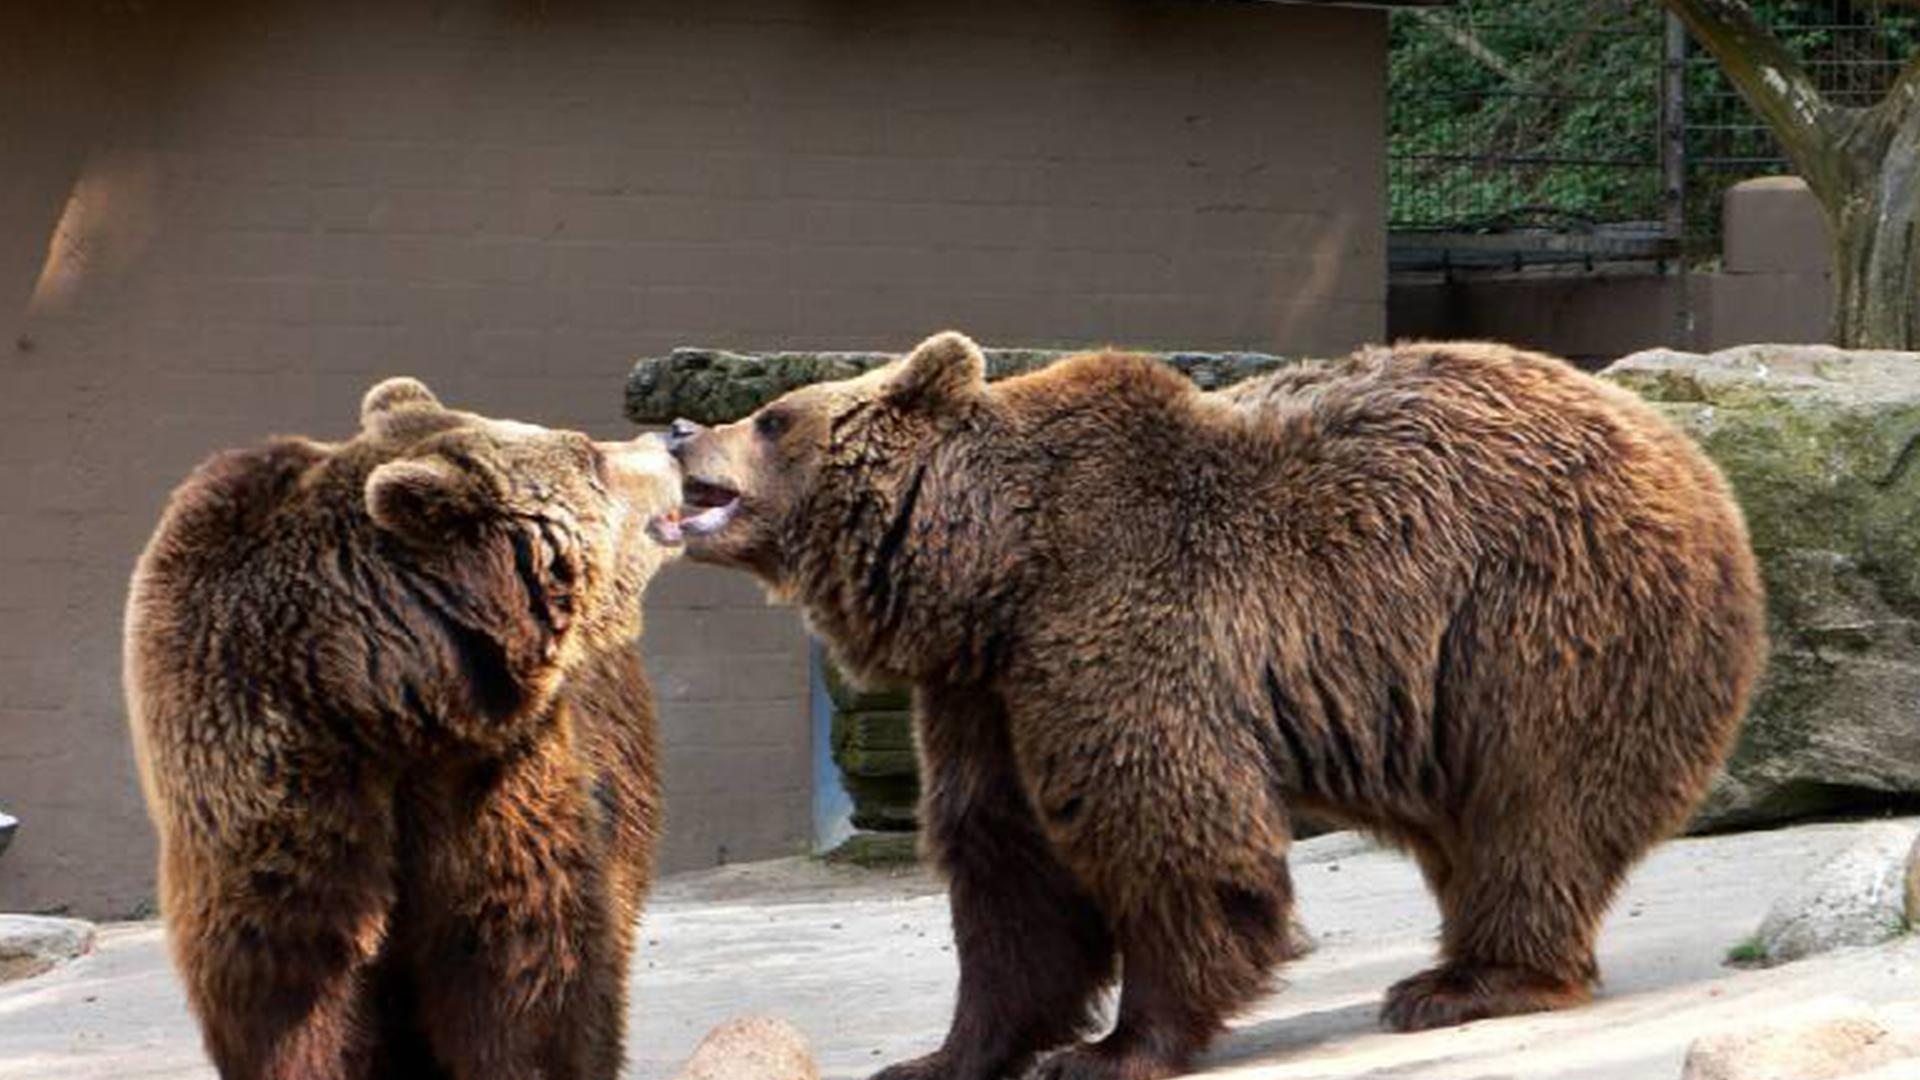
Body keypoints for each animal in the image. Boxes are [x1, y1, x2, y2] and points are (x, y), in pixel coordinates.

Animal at [124, 377, 682, 1080]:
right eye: (589, 455)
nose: (671, 437)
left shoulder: (497, 776)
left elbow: (523, 959)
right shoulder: (266, 787)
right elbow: (294, 993)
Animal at [660, 332, 1766, 1080]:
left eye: (772, 415)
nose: (675, 431)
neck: (992, 570)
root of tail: (1695, 463)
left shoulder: (1118, 625)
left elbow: (1168, 834)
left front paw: (1116, 1047)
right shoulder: (987, 692)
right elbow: (1005, 870)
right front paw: (945, 1053)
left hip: (1542, 623)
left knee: (1533, 814)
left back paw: (1464, 983)